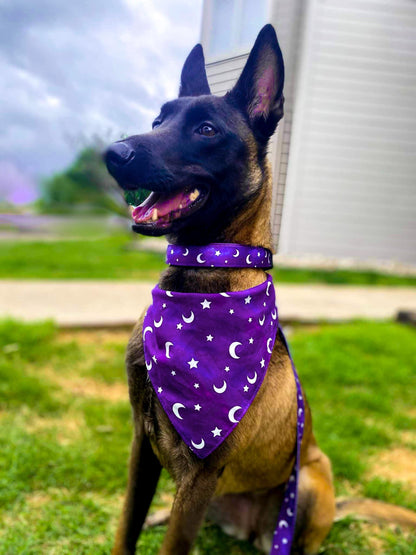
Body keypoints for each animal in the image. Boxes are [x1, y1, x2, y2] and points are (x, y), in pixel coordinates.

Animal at [105, 23, 336, 552]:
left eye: (206, 130)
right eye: (158, 119)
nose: (113, 154)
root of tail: (248, 530)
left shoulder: (200, 474)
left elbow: (174, 543)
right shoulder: (140, 445)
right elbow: (127, 524)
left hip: (313, 480)